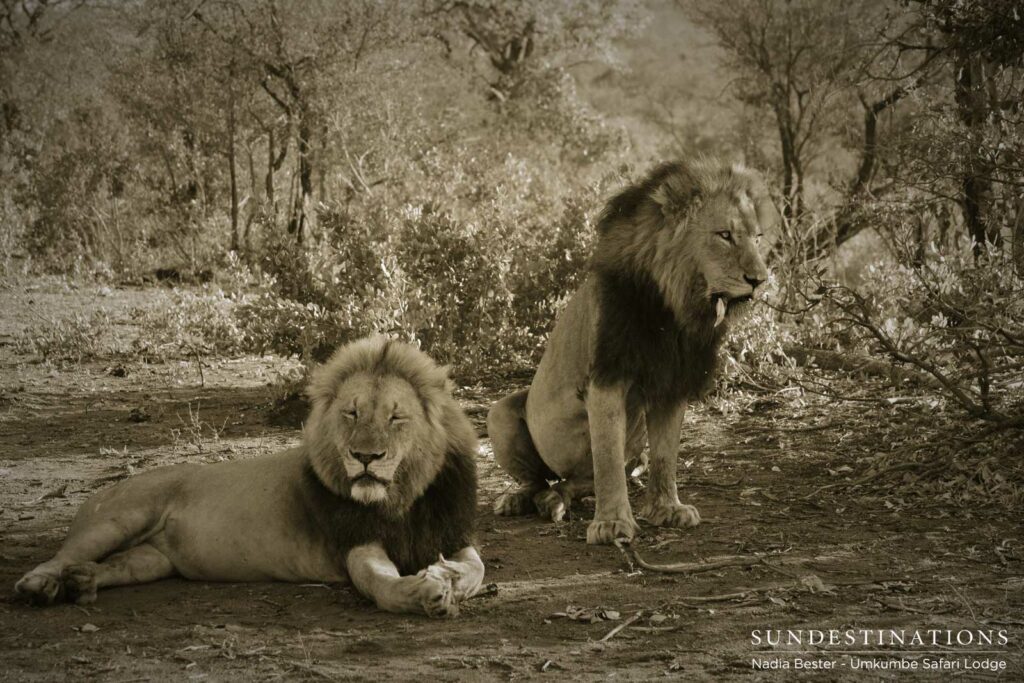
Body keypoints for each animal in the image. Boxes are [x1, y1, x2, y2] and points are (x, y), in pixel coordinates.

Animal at [15, 336, 484, 617]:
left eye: (396, 417)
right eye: (351, 413)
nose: (365, 456)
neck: (401, 498)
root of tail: (105, 488)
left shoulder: (453, 534)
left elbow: (476, 570)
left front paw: (447, 577)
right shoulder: (355, 544)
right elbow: (382, 585)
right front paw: (427, 593)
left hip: (152, 560)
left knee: (113, 564)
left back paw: (81, 582)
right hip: (118, 518)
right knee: (61, 555)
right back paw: (40, 585)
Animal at [487, 159, 775, 545]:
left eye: (757, 238)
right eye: (724, 235)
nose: (759, 280)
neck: (673, 308)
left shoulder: (672, 382)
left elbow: (665, 456)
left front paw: (667, 510)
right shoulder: (606, 378)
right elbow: (607, 459)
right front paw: (611, 524)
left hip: (621, 457)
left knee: (575, 482)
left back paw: (554, 500)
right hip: (498, 413)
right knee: (538, 480)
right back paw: (519, 499)